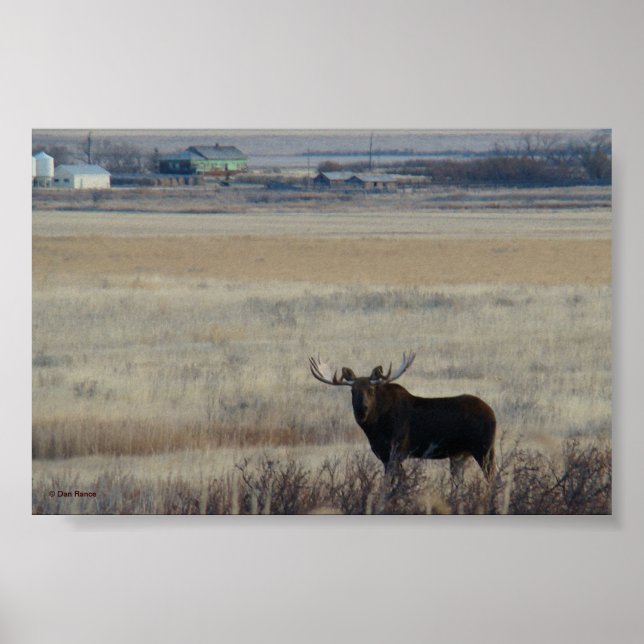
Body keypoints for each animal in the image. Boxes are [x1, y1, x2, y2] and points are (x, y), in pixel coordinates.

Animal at [309, 351, 496, 483]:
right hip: (460, 455)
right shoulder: (384, 455)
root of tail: (493, 414)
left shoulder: (398, 451)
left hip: (484, 448)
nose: (362, 409)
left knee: (493, 478)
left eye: (371, 390)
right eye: (352, 391)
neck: (375, 430)